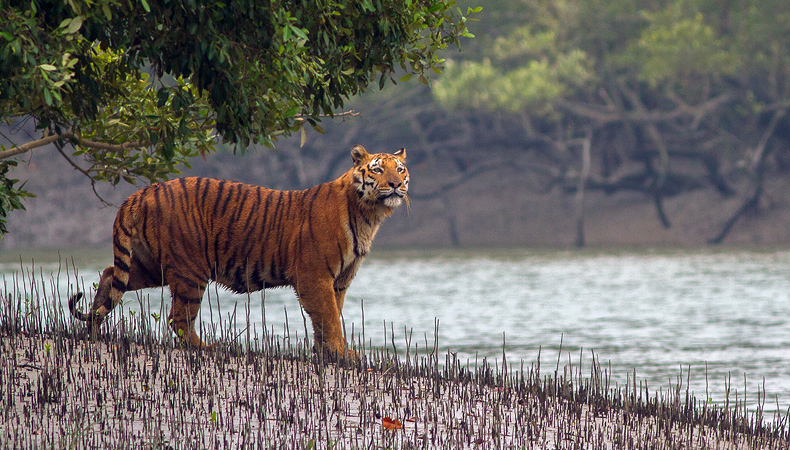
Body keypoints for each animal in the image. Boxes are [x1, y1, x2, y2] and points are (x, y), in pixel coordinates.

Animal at [69, 146, 412, 356]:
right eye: (377, 170)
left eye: (400, 169)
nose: (396, 184)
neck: (369, 214)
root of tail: (142, 192)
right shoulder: (315, 276)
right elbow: (329, 317)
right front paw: (342, 353)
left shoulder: (338, 281)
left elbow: (327, 318)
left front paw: (325, 353)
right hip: (190, 270)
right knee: (178, 318)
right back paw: (208, 348)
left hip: (152, 265)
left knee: (110, 275)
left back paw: (93, 329)